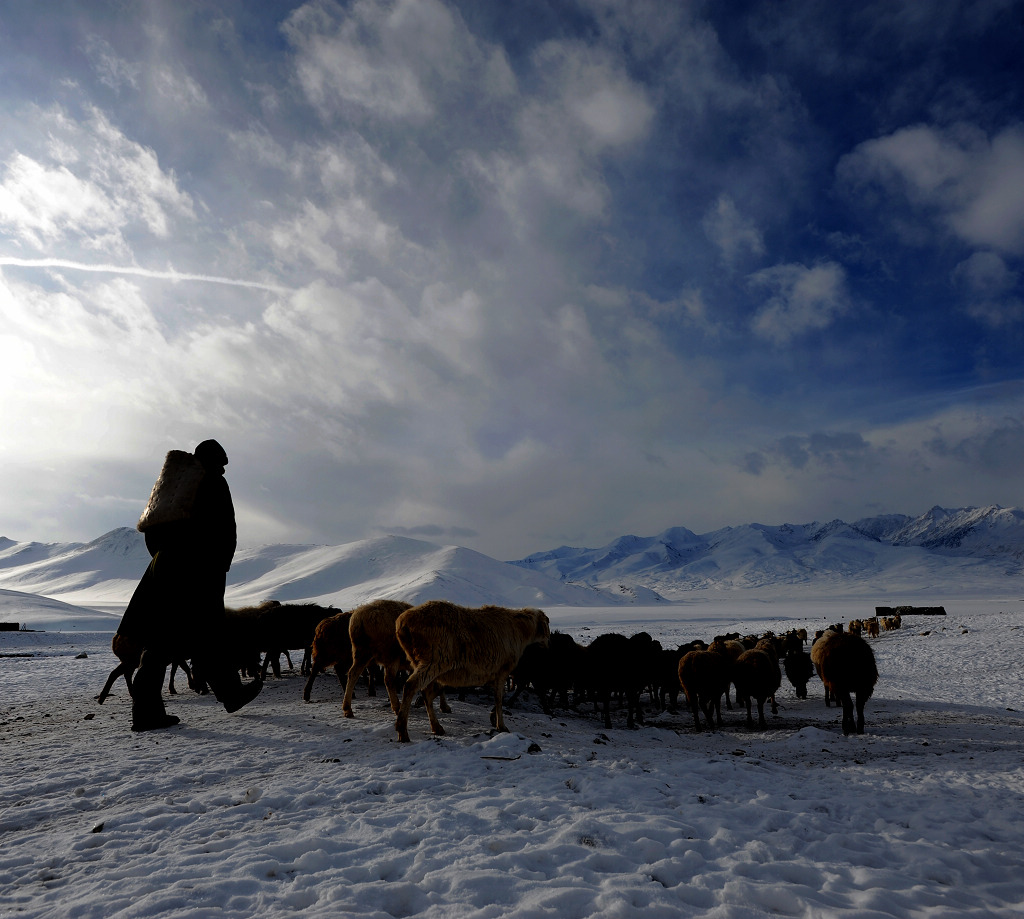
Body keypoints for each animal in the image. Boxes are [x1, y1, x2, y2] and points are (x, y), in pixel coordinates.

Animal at [393, 602, 552, 737]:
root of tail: (402, 622)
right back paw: (402, 730)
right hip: (434, 660)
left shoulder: (496, 673)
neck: (521, 630)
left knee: (425, 692)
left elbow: (498, 697)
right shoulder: (502, 670)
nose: (547, 645)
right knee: (411, 685)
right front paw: (501, 725)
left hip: (419, 661)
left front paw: (493, 718)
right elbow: (499, 698)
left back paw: (436, 727)